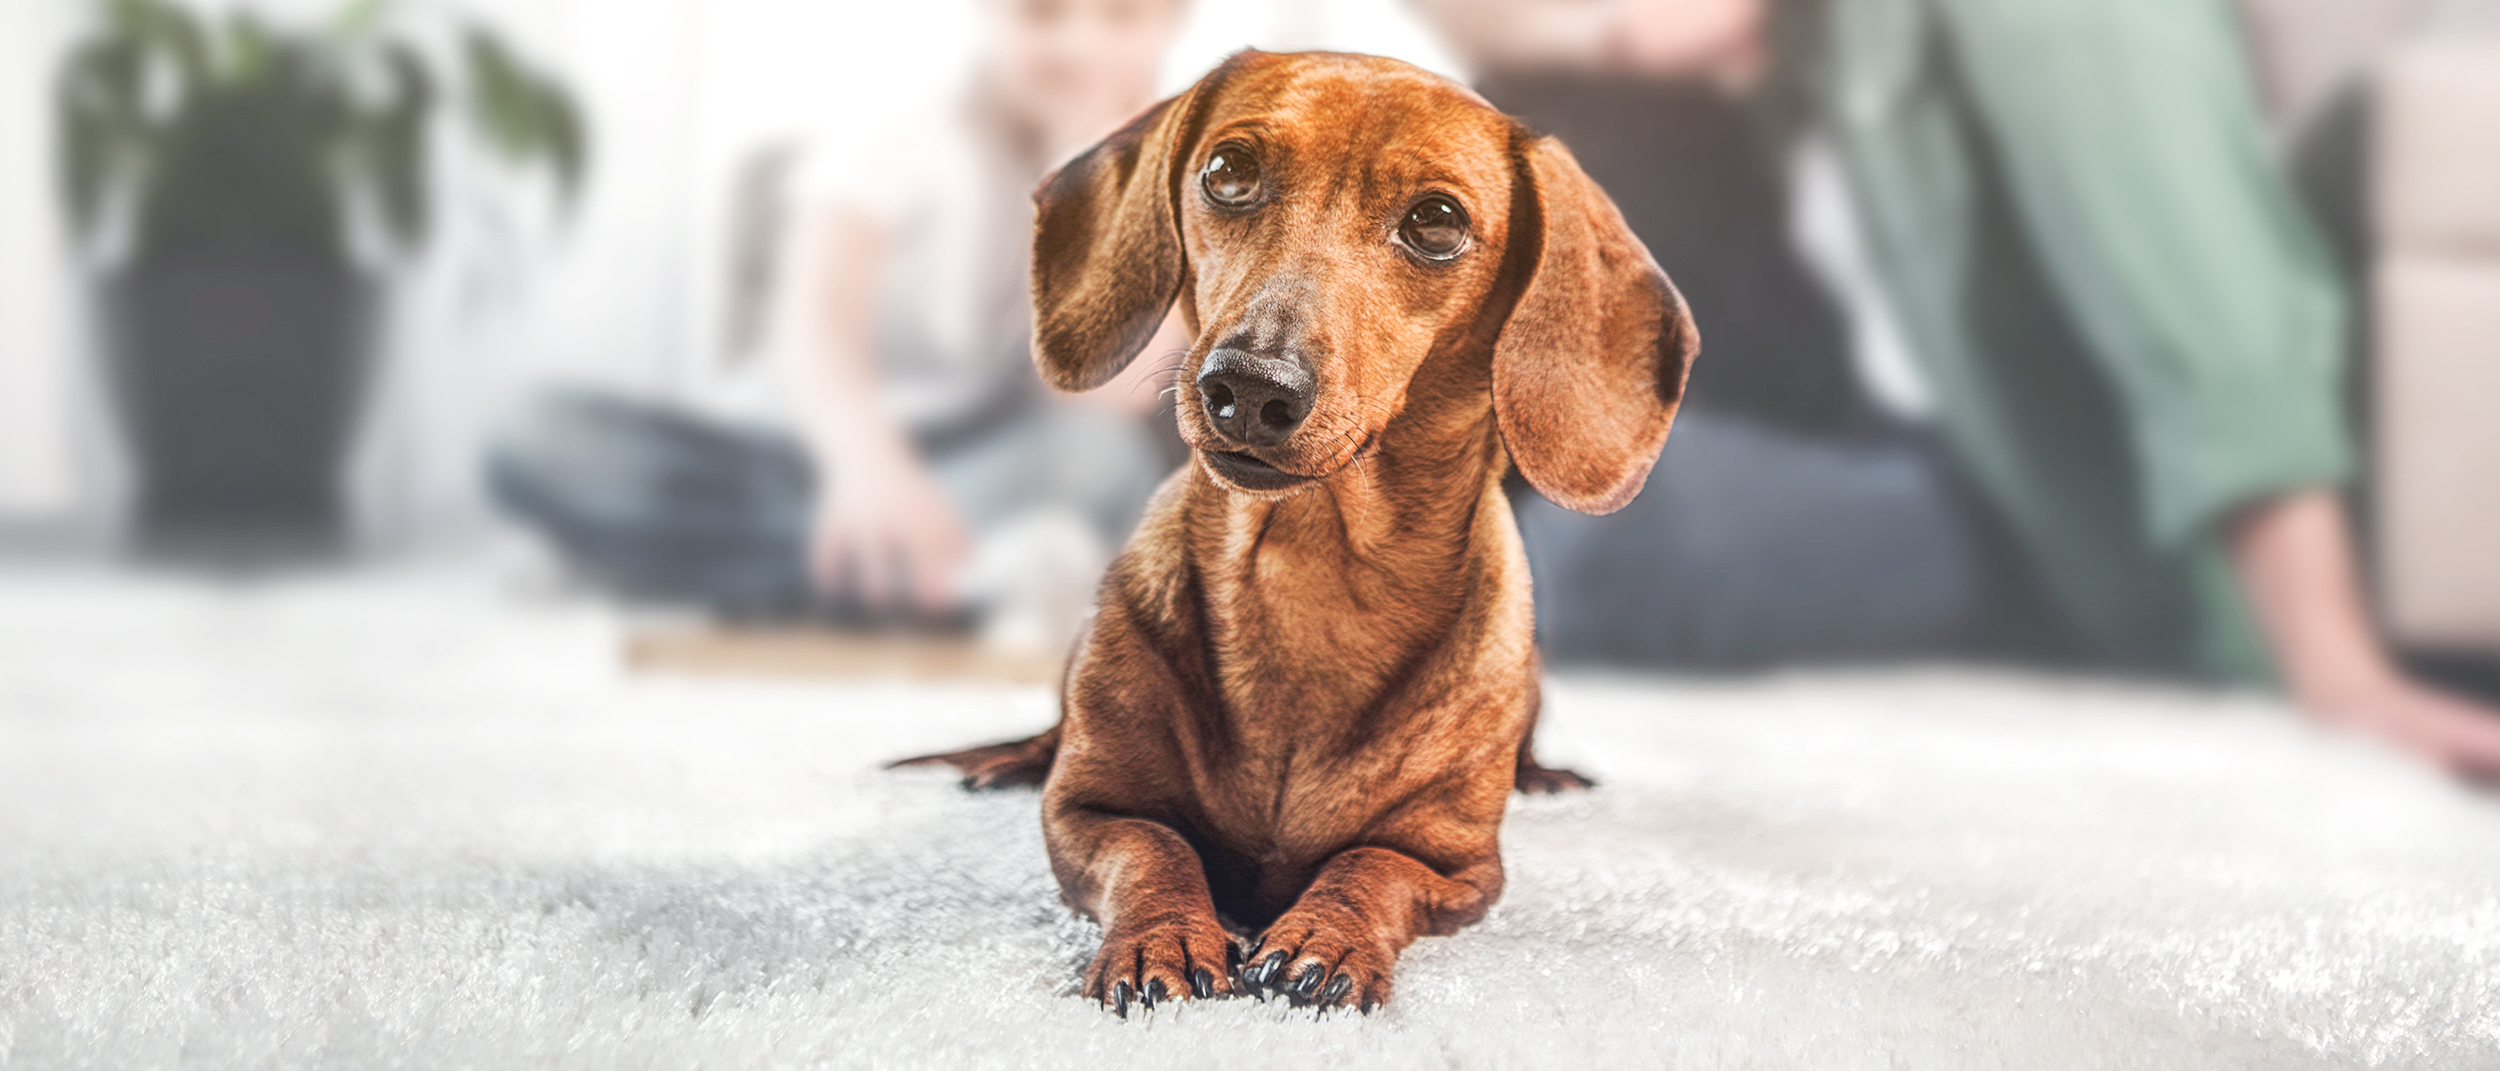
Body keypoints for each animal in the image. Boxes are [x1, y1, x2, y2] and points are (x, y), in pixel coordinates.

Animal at [900, 50, 1700, 1015]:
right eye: (1228, 170)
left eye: (1437, 222)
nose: (1248, 384)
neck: (1308, 574)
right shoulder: (1090, 814)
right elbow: (1153, 848)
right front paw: (1163, 936)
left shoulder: (1454, 863)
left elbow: (1370, 866)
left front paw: (1323, 937)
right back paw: (1005, 758)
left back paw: (1543, 773)